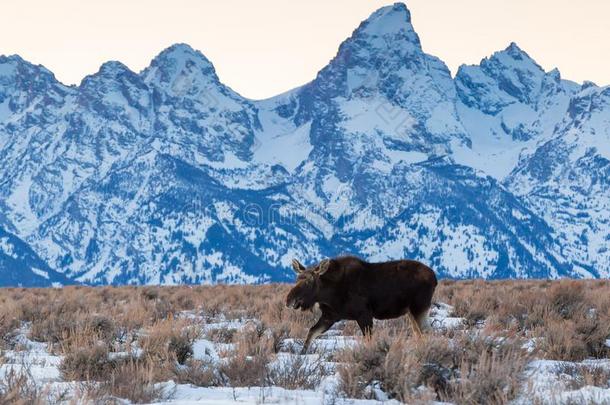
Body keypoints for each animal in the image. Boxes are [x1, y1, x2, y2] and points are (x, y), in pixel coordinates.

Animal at [286, 256, 436, 354]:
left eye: (309, 282)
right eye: (296, 279)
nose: (289, 300)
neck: (329, 293)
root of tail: (434, 278)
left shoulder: (364, 314)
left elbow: (369, 340)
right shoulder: (330, 316)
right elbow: (311, 332)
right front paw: (302, 355)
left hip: (419, 307)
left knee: (428, 333)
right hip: (411, 312)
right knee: (420, 334)